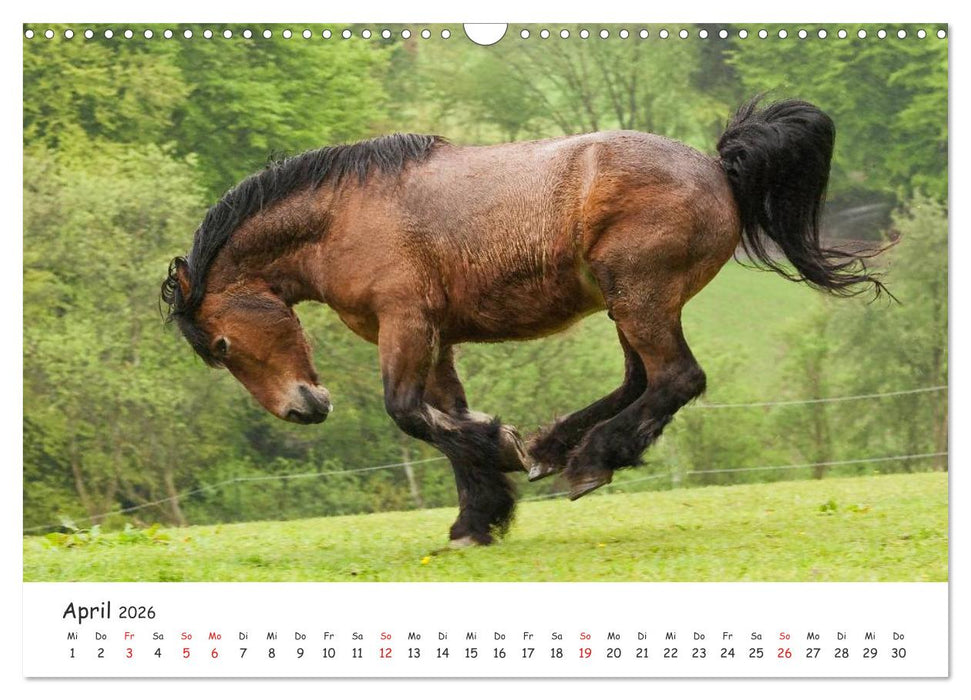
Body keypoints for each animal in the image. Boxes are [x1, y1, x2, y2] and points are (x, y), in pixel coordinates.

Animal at [161, 98, 884, 547]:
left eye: (222, 345)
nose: (302, 409)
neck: (345, 216)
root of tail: (717, 167)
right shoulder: (437, 338)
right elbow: (444, 419)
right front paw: (478, 518)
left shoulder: (406, 324)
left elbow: (410, 414)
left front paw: (500, 449)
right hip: (627, 303)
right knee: (639, 381)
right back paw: (555, 448)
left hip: (639, 296)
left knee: (677, 378)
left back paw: (587, 461)